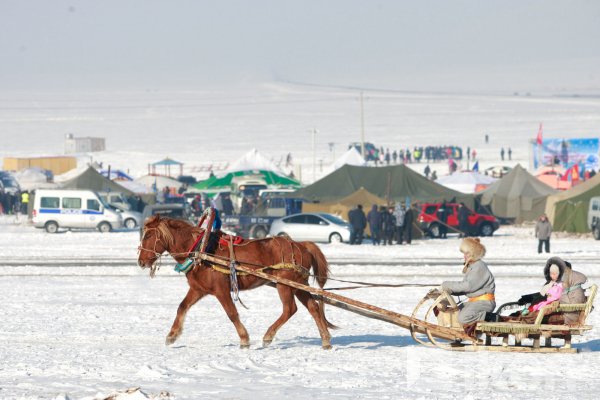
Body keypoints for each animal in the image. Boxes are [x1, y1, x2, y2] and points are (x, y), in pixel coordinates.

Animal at [137, 214, 336, 348]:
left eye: (148, 236)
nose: (141, 262)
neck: (201, 250)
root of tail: (301, 245)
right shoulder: (198, 289)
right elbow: (182, 307)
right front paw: (172, 335)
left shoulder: (221, 290)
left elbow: (232, 314)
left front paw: (244, 339)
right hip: (299, 285)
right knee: (313, 308)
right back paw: (325, 340)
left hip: (284, 285)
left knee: (290, 309)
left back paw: (268, 336)